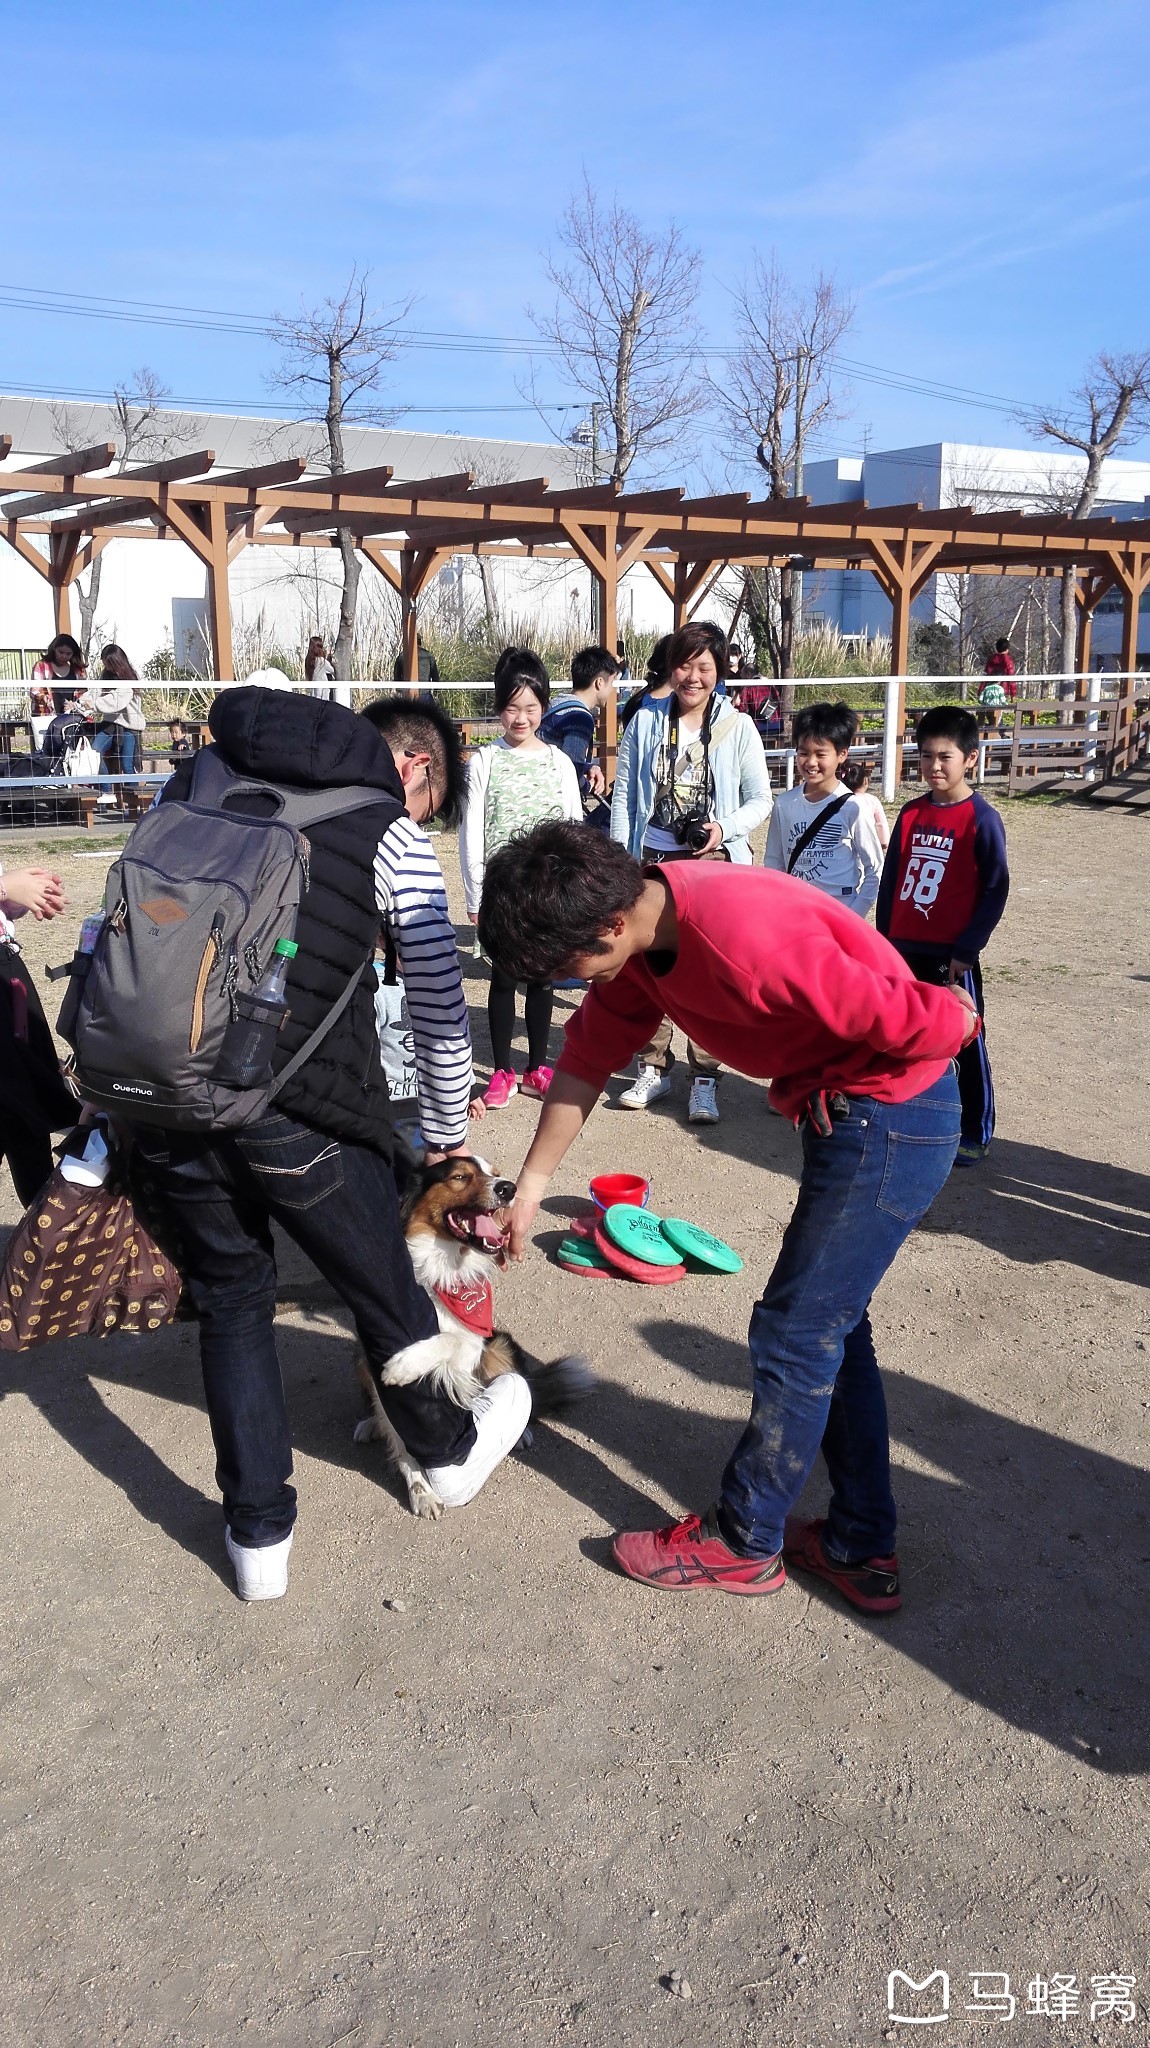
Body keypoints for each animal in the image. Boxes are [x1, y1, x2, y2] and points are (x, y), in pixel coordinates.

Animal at [351, 1155, 589, 1523]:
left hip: (500, 1346)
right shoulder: (372, 1347)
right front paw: (421, 1490)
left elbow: (450, 1339)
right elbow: (402, 1440)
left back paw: (521, 1429)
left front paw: (405, 1365)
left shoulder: (471, 1348)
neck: (444, 1263)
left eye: (494, 1174)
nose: (509, 1188)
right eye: (460, 1177)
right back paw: (370, 1424)